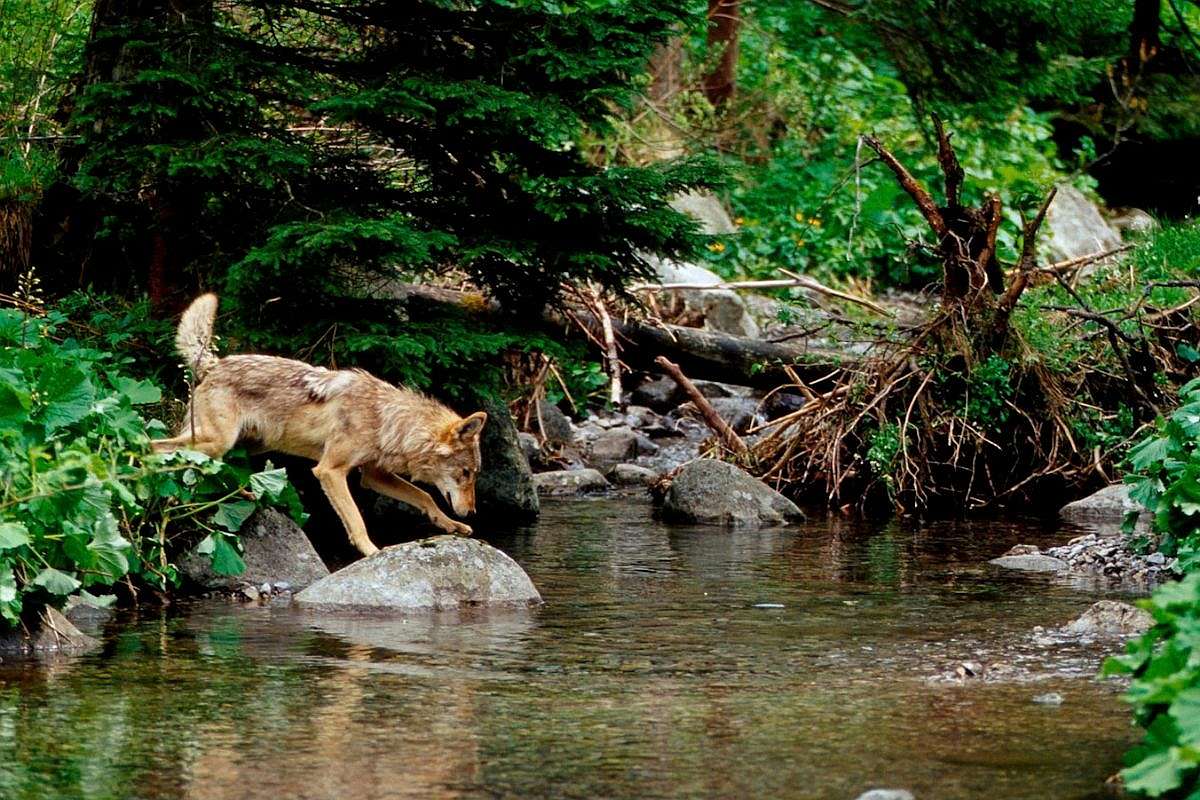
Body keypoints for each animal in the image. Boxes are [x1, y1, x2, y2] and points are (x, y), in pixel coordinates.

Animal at [152, 293, 487, 557]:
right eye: (466, 474)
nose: (473, 511)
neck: (386, 419)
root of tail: (214, 364)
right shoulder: (330, 471)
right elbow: (356, 519)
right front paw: (372, 552)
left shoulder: (373, 476)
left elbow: (424, 496)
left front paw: (452, 524)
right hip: (215, 441)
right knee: (159, 446)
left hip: (246, 444)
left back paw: (245, 495)